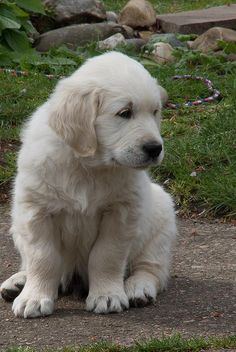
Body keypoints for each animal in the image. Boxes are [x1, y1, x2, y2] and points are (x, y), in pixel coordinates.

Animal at [0, 52, 177, 320]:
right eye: (125, 113)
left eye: (155, 112)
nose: (155, 148)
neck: (88, 166)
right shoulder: (35, 210)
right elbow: (43, 257)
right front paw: (34, 297)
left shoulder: (121, 212)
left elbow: (106, 255)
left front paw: (107, 295)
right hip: (17, 225)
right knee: (31, 262)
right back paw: (19, 282)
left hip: (161, 219)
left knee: (152, 268)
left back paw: (138, 288)